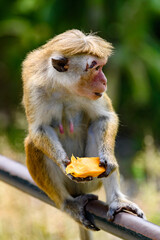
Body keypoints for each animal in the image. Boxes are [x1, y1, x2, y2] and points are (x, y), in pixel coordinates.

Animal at [22, 29, 145, 239]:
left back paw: (117, 201)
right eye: (95, 67)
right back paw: (69, 204)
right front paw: (65, 164)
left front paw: (108, 159)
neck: (63, 86)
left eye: (102, 66)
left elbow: (104, 118)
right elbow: (38, 129)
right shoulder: (34, 89)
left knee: (95, 127)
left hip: (91, 184)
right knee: (33, 145)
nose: (104, 81)